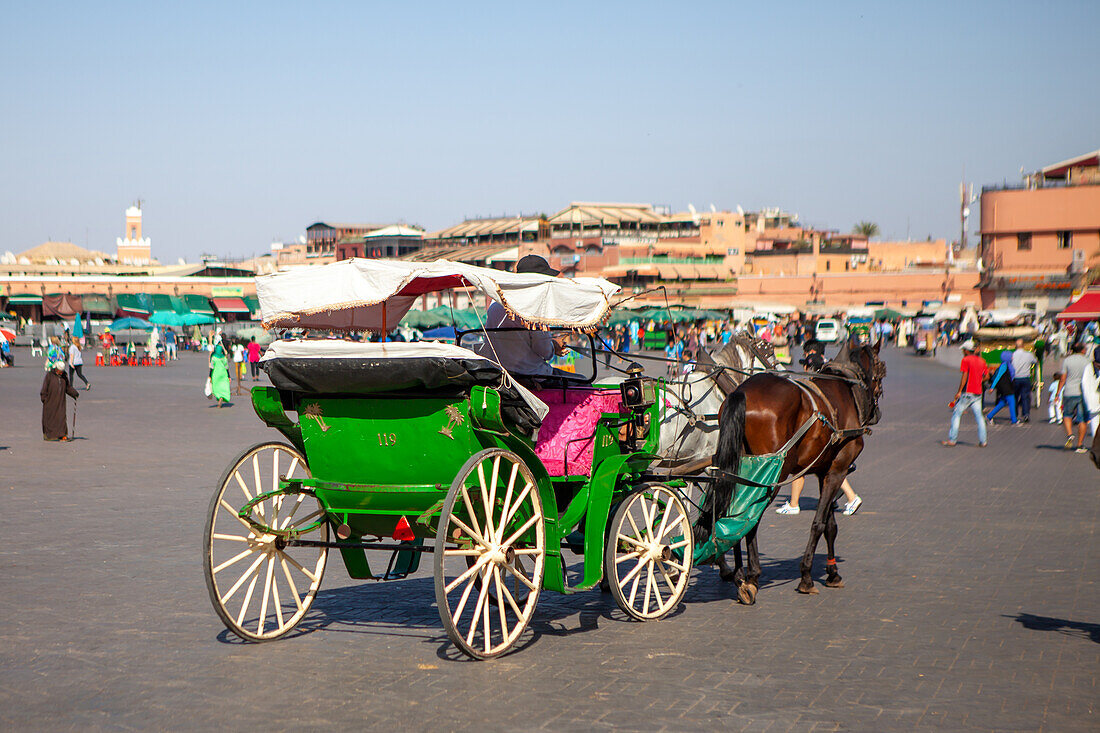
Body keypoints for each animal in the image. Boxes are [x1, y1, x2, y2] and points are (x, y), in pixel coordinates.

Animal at [699, 336, 888, 598]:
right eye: (881, 372)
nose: (876, 413)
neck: (846, 388)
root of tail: (741, 392)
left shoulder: (823, 471)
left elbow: (830, 525)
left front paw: (832, 572)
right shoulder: (838, 470)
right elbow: (819, 524)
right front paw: (807, 576)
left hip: (740, 467)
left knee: (733, 510)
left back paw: (738, 575)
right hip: (772, 474)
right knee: (751, 519)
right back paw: (751, 576)